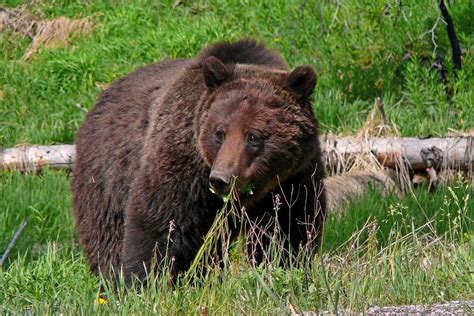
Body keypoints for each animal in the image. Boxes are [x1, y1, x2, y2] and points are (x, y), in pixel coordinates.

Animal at [72, 38, 328, 282]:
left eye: (253, 136)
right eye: (219, 133)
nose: (221, 178)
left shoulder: (292, 180)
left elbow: (289, 230)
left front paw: (283, 268)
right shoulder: (186, 168)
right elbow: (161, 225)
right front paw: (143, 281)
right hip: (107, 178)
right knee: (108, 236)